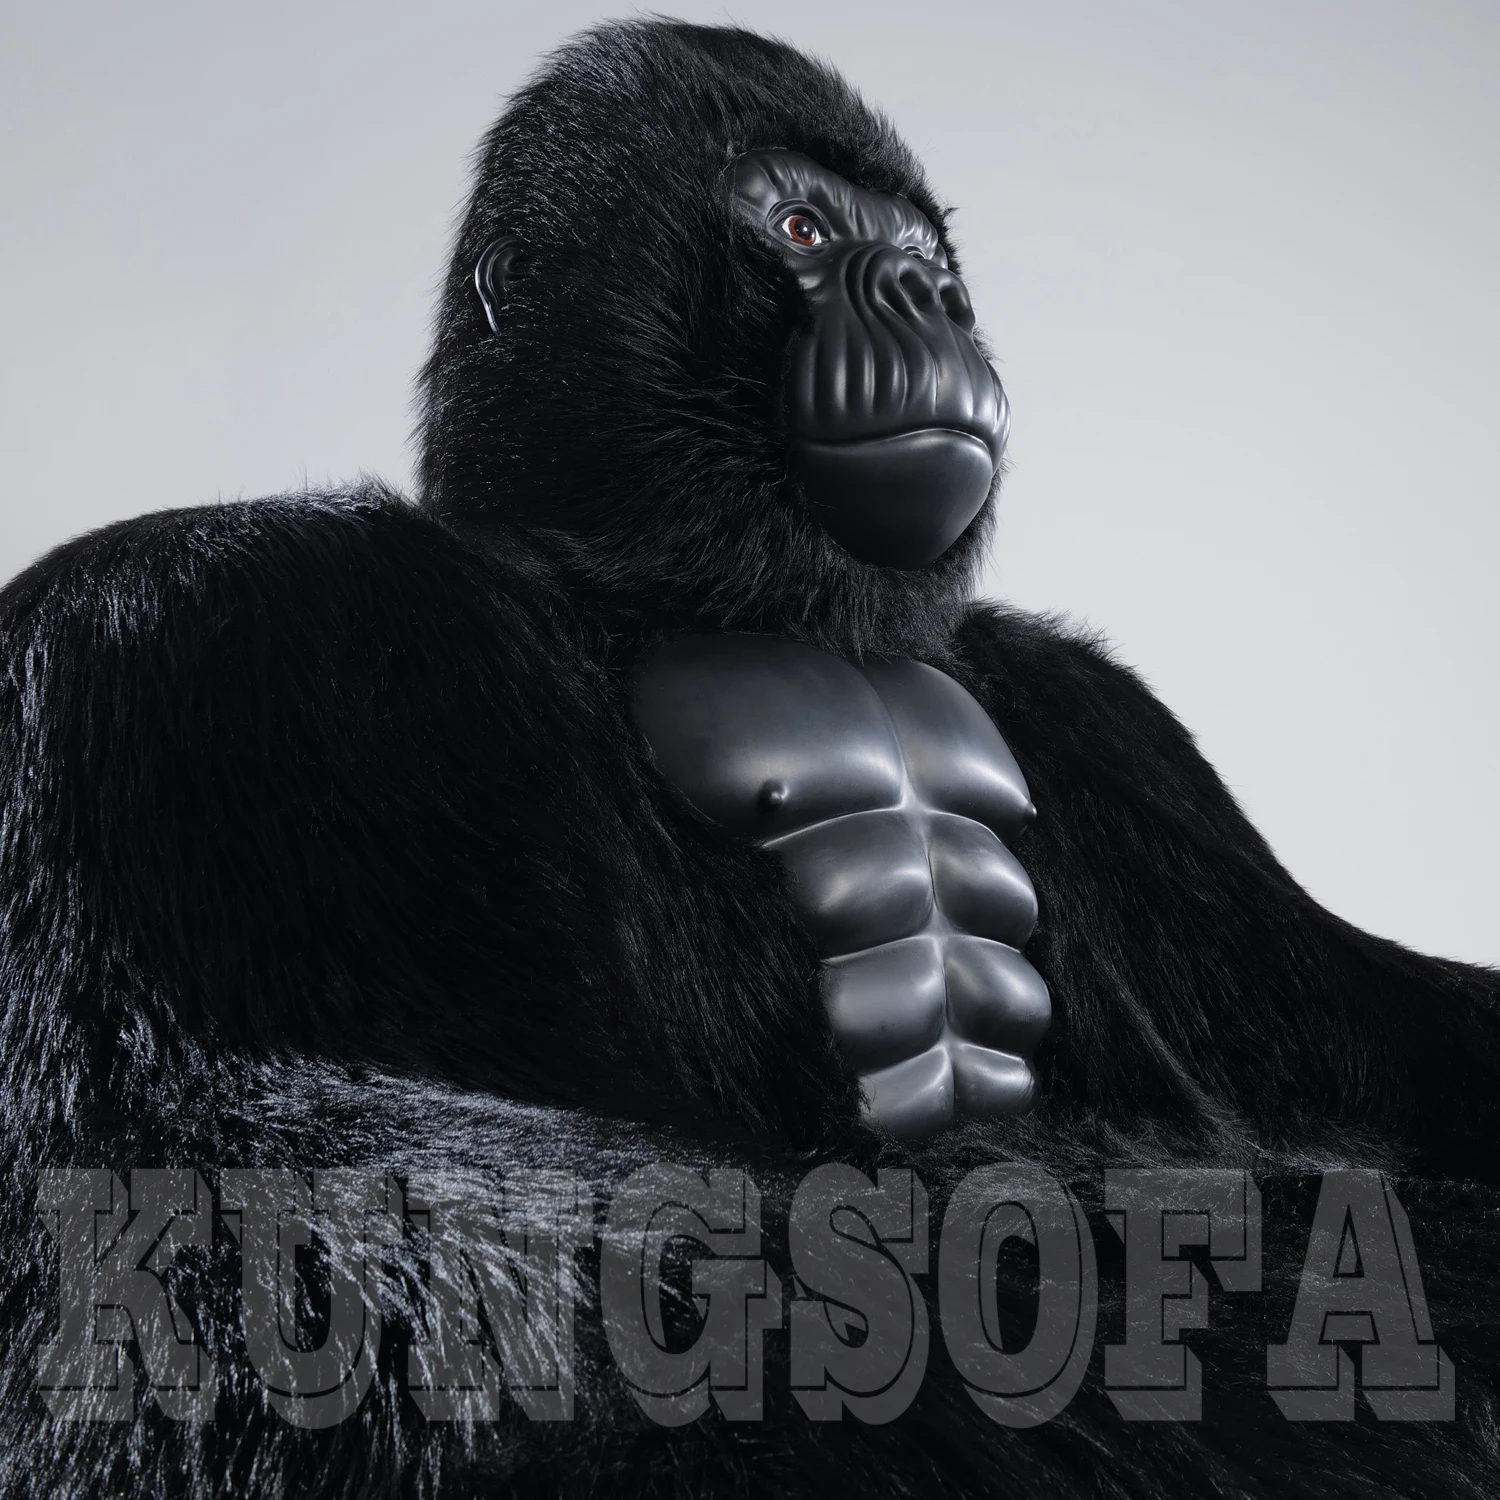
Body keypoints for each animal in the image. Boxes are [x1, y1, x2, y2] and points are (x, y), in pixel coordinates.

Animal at [0, 17, 1497, 1499]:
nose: (930, 292)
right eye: (799, 229)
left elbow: (1365, 1011)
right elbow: (203, 1161)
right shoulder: (195, 632)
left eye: (930, 257)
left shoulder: (1120, 740)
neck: (712, 596)